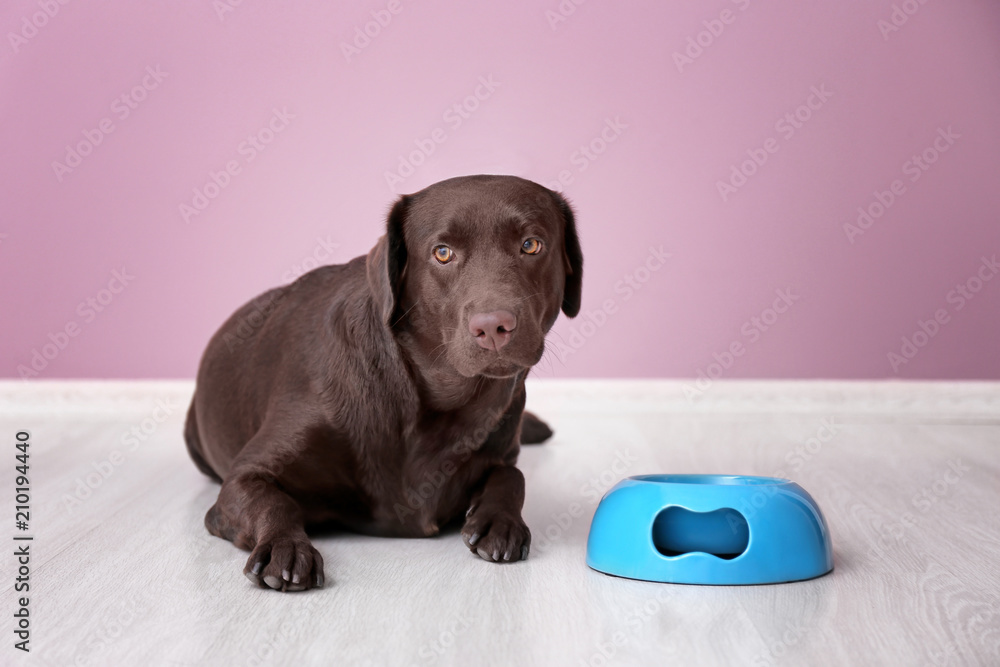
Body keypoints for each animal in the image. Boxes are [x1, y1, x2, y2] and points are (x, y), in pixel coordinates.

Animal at [184, 175, 584, 592]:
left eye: (531, 245)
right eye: (443, 253)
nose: (493, 327)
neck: (439, 400)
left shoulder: (503, 444)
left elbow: (512, 475)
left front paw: (500, 521)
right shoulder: (244, 476)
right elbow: (275, 501)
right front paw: (285, 547)